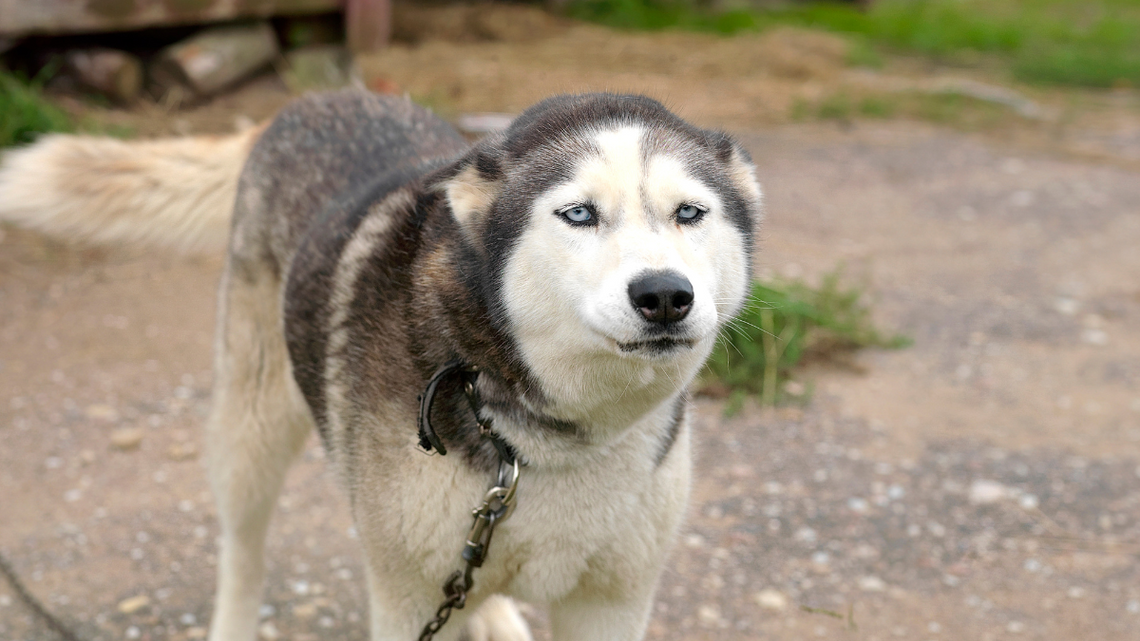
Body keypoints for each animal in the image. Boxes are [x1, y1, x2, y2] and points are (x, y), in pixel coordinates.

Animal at [4, 91, 766, 638]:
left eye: (690, 213)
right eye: (578, 214)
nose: (664, 294)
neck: (544, 438)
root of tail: (312, 100)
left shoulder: (614, 598)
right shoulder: (404, 599)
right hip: (250, 431)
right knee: (243, 550)